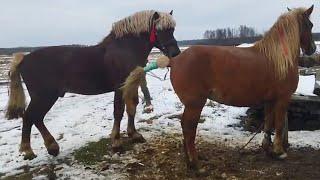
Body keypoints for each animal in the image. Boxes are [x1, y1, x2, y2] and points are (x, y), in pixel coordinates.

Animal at [6, 9, 180, 160]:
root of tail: (24, 59)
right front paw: (116, 142)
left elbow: (132, 107)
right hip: (44, 96)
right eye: (159, 30)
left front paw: (134, 134)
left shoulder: (132, 85)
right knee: (30, 117)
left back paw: (51, 147)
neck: (125, 49)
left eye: (172, 29)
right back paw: (30, 151)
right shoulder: (120, 87)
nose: (175, 53)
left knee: (36, 118)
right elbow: (118, 111)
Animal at [122, 5, 316, 169]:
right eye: (310, 24)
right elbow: (279, 123)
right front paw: (279, 151)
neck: (278, 58)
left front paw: (267, 148)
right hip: (195, 104)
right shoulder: (282, 99)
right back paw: (194, 162)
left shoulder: (269, 100)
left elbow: (268, 122)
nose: (313, 49)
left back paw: (189, 160)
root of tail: (174, 60)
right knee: (189, 127)